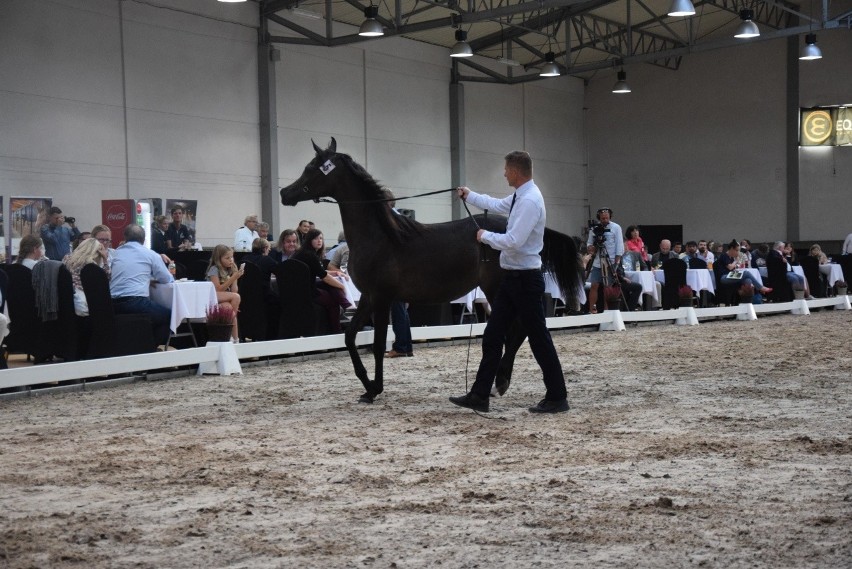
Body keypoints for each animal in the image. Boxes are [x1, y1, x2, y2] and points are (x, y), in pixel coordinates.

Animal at [282, 139, 584, 402]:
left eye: (311, 167)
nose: (285, 193)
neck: (381, 237)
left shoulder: (381, 298)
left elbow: (378, 344)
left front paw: (375, 389)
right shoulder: (367, 297)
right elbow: (349, 337)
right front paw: (367, 386)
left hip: (498, 290)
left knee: (518, 330)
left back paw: (500, 382)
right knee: (519, 331)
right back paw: (499, 383)